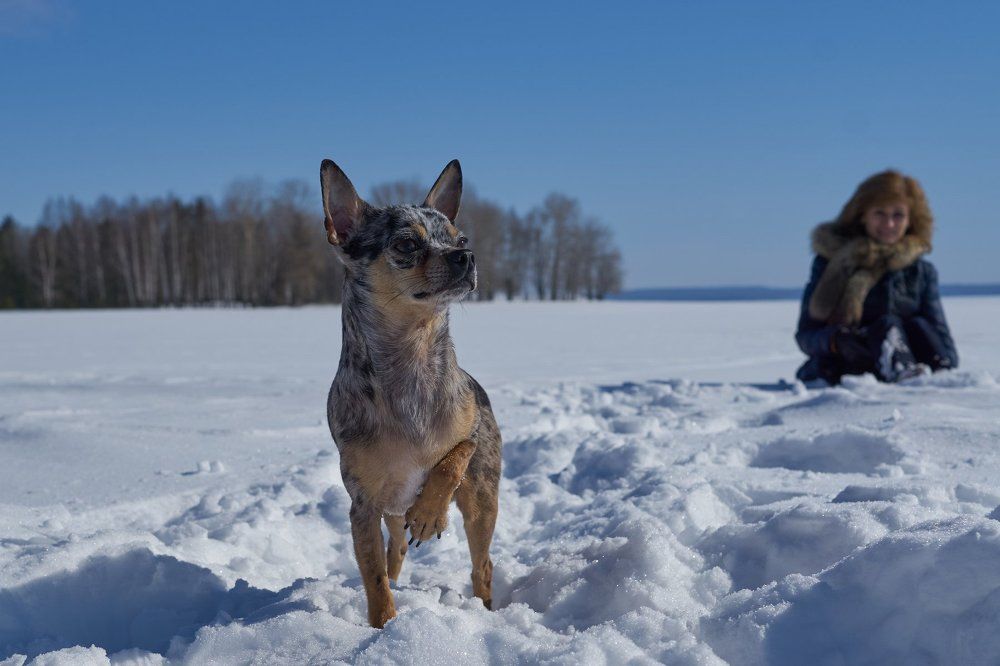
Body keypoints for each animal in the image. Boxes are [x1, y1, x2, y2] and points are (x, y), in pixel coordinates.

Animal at [320, 158, 502, 628]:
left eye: (461, 239)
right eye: (406, 243)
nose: (466, 256)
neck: (411, 359)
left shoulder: (470, 434)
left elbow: (453, 456)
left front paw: (429, 514)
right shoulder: (363, 507)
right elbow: (374, 580)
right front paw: (384, 626)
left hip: (482, 501)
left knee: (482, 564)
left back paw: (485, 608)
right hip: (389, 510)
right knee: (395, 552)